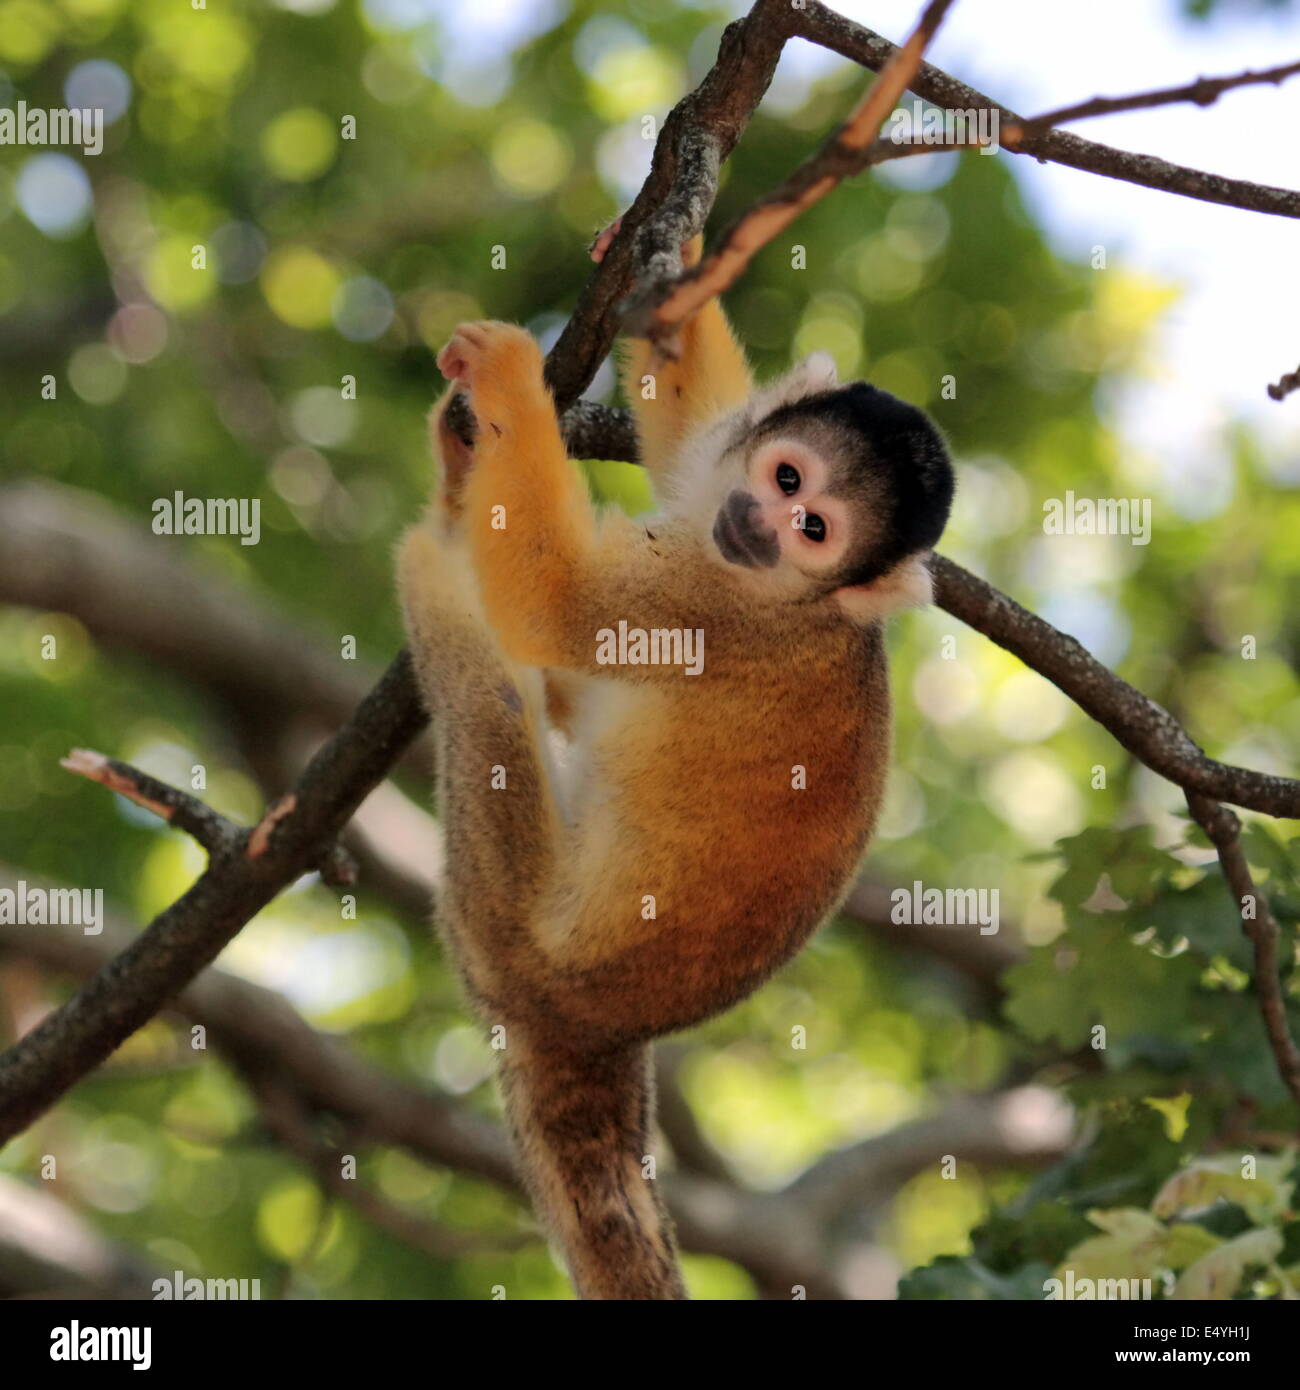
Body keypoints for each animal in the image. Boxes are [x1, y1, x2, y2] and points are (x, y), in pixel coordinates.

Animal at [397, 230, 956, 1301]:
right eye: (788, 480)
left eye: (814, 533)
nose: (760, 527)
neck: (798, 598)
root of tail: (589, 1028)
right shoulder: (712, 498)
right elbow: (691, 420)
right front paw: (681, 251)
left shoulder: (710, 602)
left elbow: (559, 600)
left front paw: (512, 382)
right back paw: (455, 480)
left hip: (494, 912)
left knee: (486, 667)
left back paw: (439, 549)